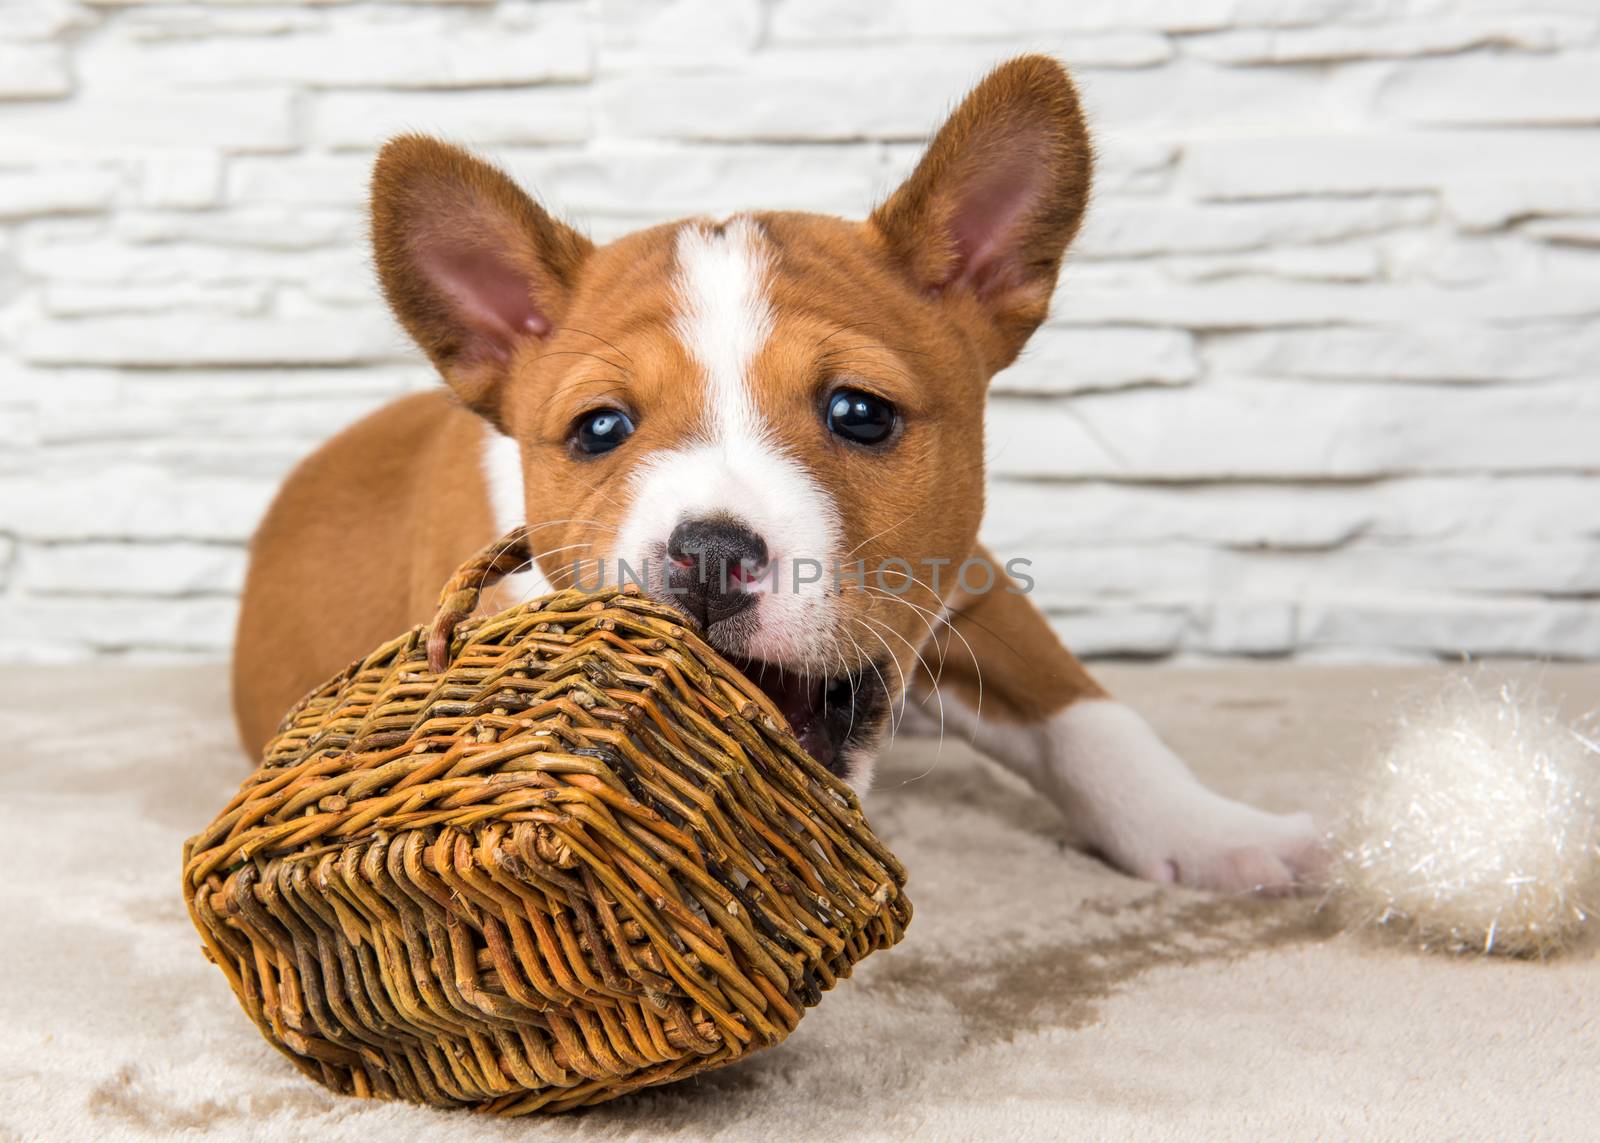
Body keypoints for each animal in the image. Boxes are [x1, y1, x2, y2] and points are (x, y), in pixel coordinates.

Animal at [232, 53, 1318, 890]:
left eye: (860, 414)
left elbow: (1093, 718)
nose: (710, 556)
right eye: (598, 429)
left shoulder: (971, 589)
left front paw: (1210, 832)